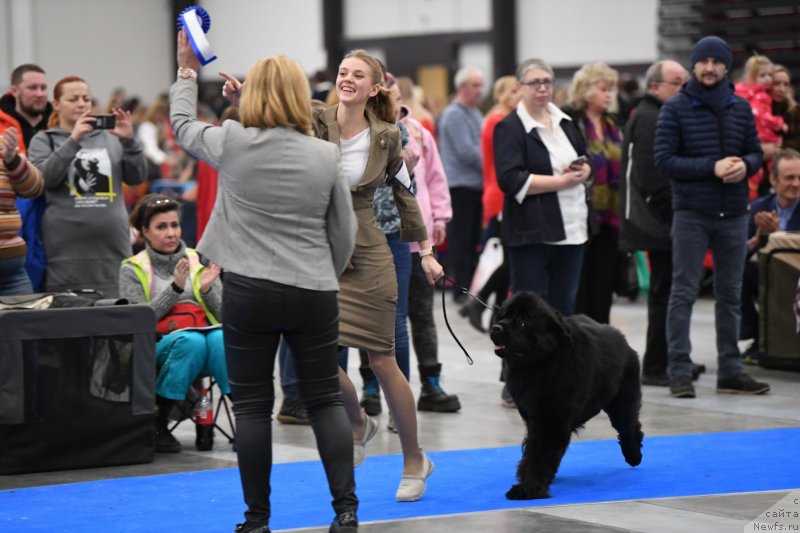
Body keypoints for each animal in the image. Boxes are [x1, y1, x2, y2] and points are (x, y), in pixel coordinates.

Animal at [488, 290, 644, 498]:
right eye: (502, 316)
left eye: (521, 322)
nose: (496, 328)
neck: (542, 364)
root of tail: (625, 342)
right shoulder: (535, 418)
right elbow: (531, 449)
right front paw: (526, 476)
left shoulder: (552, 419)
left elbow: (540, 453)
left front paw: (529, 488)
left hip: (622, 401)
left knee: (629, 426)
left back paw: (634, 456)